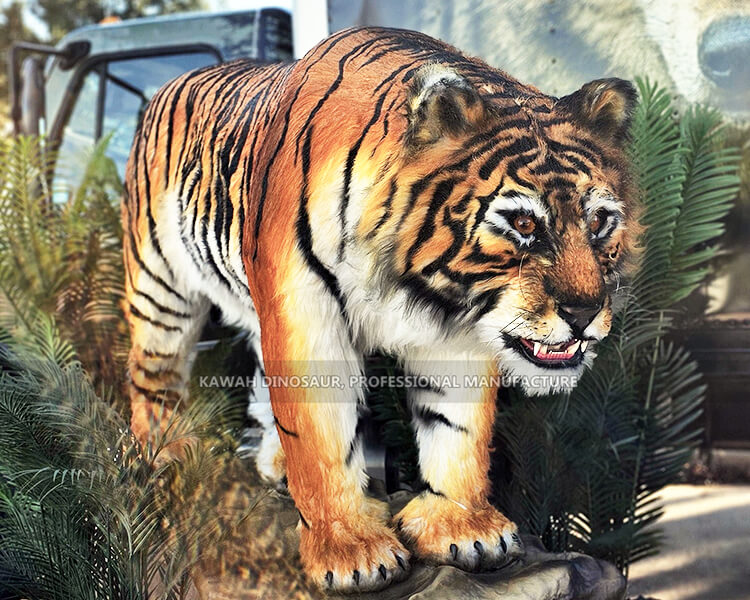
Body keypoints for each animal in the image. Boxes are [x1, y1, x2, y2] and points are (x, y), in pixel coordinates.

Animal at [123, 26, 639, 592]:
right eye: (524, 224)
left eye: (599, 222)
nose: (585, 313)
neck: (412, 283)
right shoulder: (306, 320)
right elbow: (320, 441)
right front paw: (349, 551)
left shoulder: (453, 335)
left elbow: (457, 429)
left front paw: (463, 528)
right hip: (159, 285)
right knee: (150, 371)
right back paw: (167, 451)